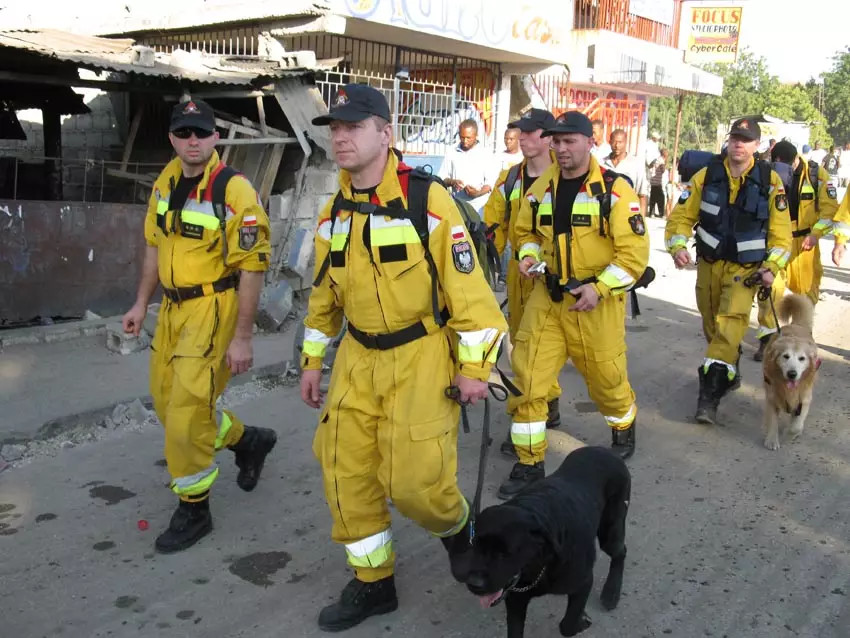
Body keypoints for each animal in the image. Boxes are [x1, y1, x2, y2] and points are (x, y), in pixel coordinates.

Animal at [464, 448, 628, 636]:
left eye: (505, 553)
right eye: (475, 546)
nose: (474, 584)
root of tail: (606, 450)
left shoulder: (584, 582)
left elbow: (567, 625)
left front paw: (580, 622)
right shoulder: (516, 600)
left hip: (610, 531)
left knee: (621, 552)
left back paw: (611, 592)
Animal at [760, 294, 820, 450]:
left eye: (802, 358)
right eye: (785, 356)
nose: (792, 374)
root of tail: (797, 325)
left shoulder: (804, 399)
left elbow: (796, 427)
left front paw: (789, 433)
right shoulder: (772, 396)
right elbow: (773, 421)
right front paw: (772, 440)